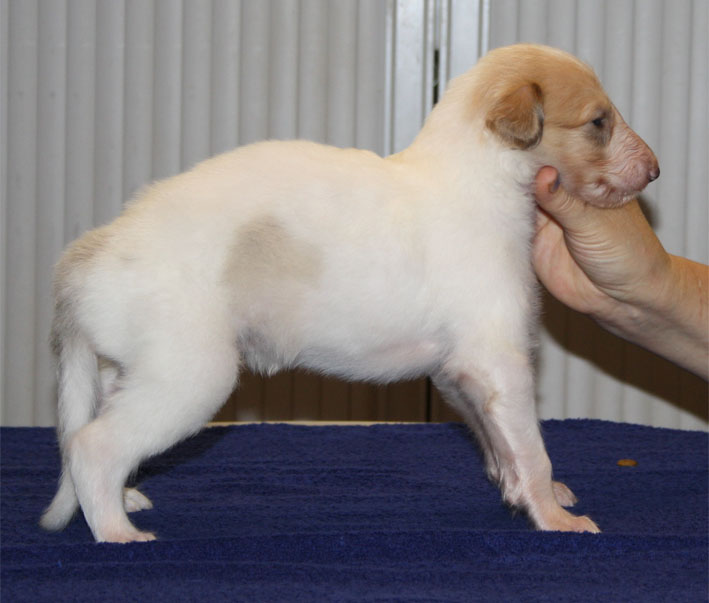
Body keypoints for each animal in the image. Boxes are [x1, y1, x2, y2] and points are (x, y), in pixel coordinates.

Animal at [40, 44, 659, 542]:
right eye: (598, 121)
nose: (654, 171)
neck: (476, 178)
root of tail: (91, 253)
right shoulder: (498, 360)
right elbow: (531, 449)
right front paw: (557, 518)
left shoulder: (458, 370)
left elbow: (500, 445)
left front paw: (538, 496)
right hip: (190, 374)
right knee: (93, 447)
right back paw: (117, 532)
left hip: (125, 370)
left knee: (96, 439)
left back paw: (123, 500)